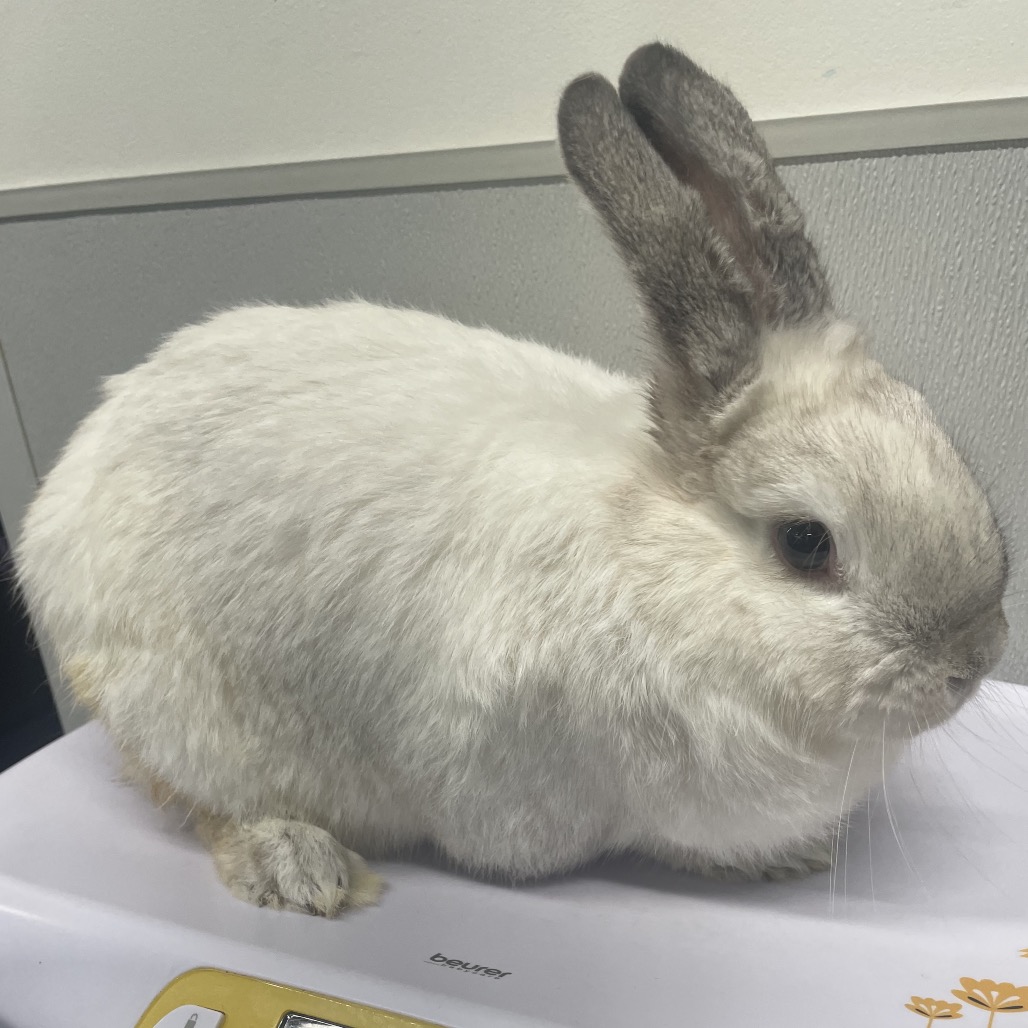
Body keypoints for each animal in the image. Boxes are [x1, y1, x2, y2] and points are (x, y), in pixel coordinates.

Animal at [16, 42, 1008, 917]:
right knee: (199, 801)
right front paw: (780, 857)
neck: (655, 565)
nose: (974, 661)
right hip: (186, 721)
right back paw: (298, 864)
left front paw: (794, 854)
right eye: (807, 544)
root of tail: (63, 491)